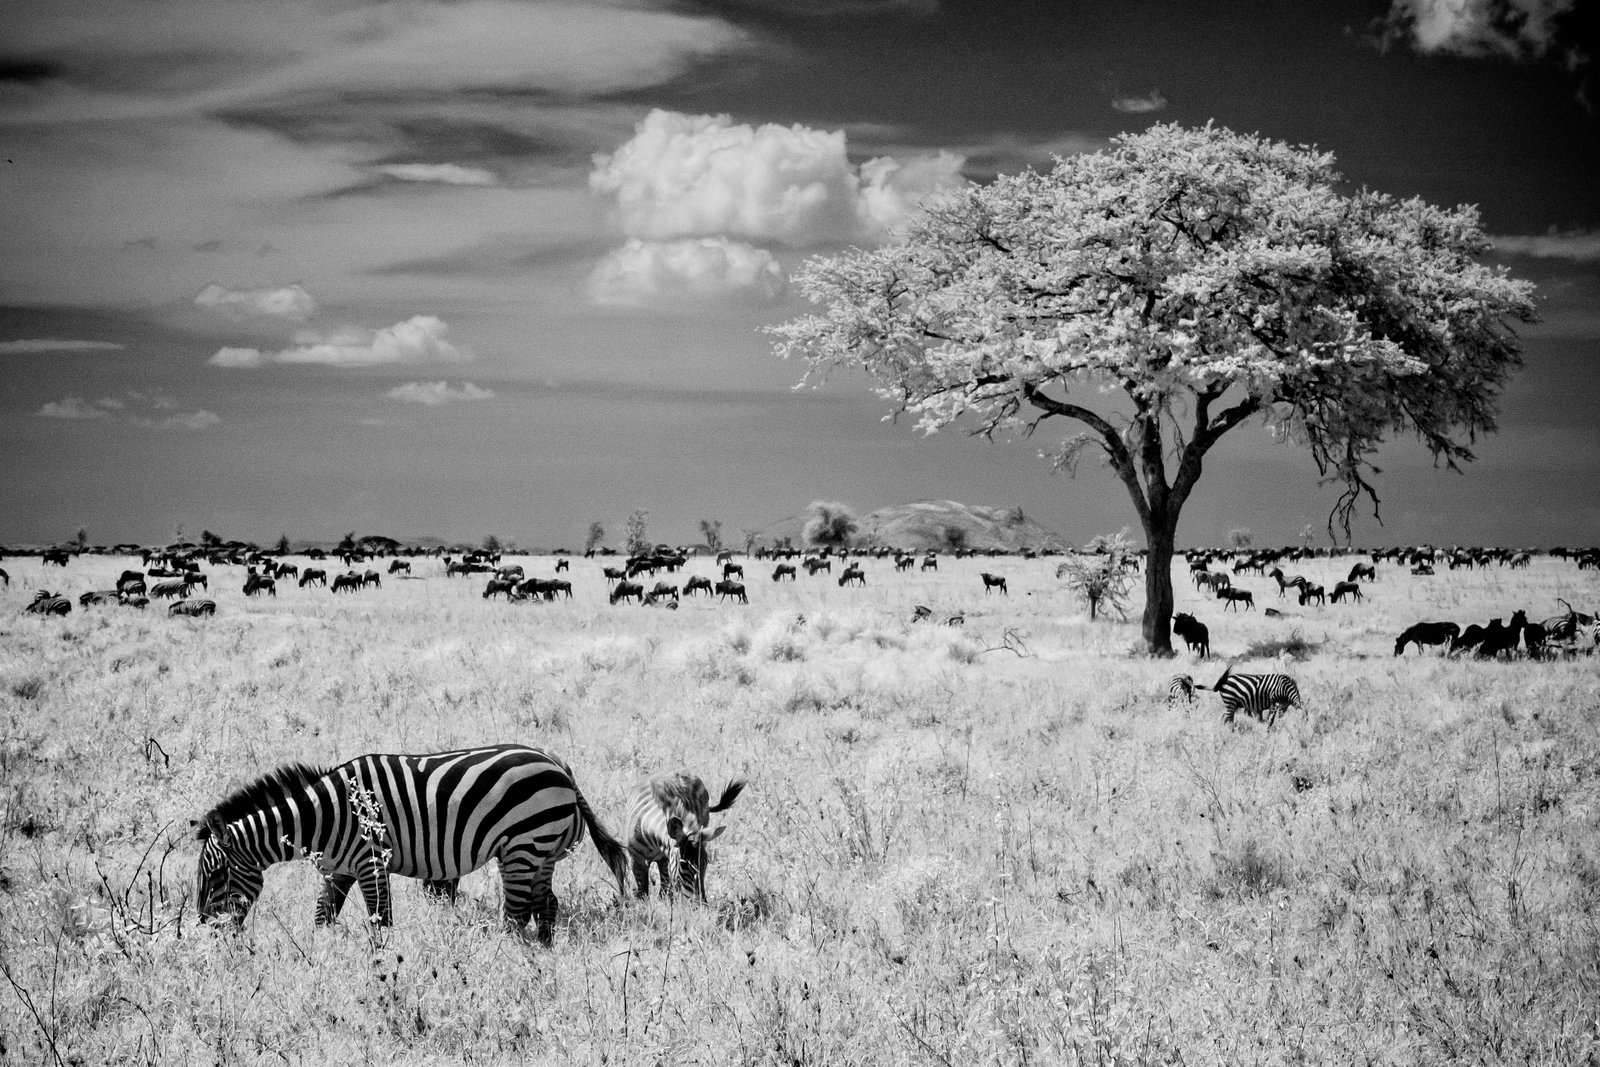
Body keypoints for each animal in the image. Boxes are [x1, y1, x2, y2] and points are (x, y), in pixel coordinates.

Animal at [195, 745, 627, 944]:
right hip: (542, 850)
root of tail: (560, 767)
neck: (324, 815)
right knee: (546, 904)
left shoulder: (369, 859)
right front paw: (322, 955)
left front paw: (382, 968)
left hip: (522, 845)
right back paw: (543, 951)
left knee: (517, 915)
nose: (206, 929)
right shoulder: (339, 869)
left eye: (215, 874)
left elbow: (380, 920)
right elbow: (322, 915)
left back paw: (506, 958)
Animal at [624, 772, 746, 901]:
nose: (701, 903)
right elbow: (643, 893)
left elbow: (665, 889)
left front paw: (667, 903)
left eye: (706, 864)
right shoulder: (637, 861)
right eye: (683, 864)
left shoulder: (665, 859)